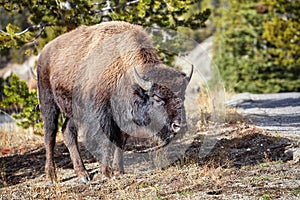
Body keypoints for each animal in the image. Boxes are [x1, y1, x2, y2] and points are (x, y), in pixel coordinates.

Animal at [37, 20, 192, 183]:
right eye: (157, 98)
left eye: (183, 96)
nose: (179, 126)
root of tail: (44, 52)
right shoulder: (103, 118)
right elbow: (107, 142)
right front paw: (106, 172)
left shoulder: (124, 120)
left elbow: (120, 141)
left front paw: (119, 170)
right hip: (48, 104)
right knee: (50, 136)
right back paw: (51, 177)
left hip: (73, 112)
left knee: (68, 132)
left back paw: (83, 175)